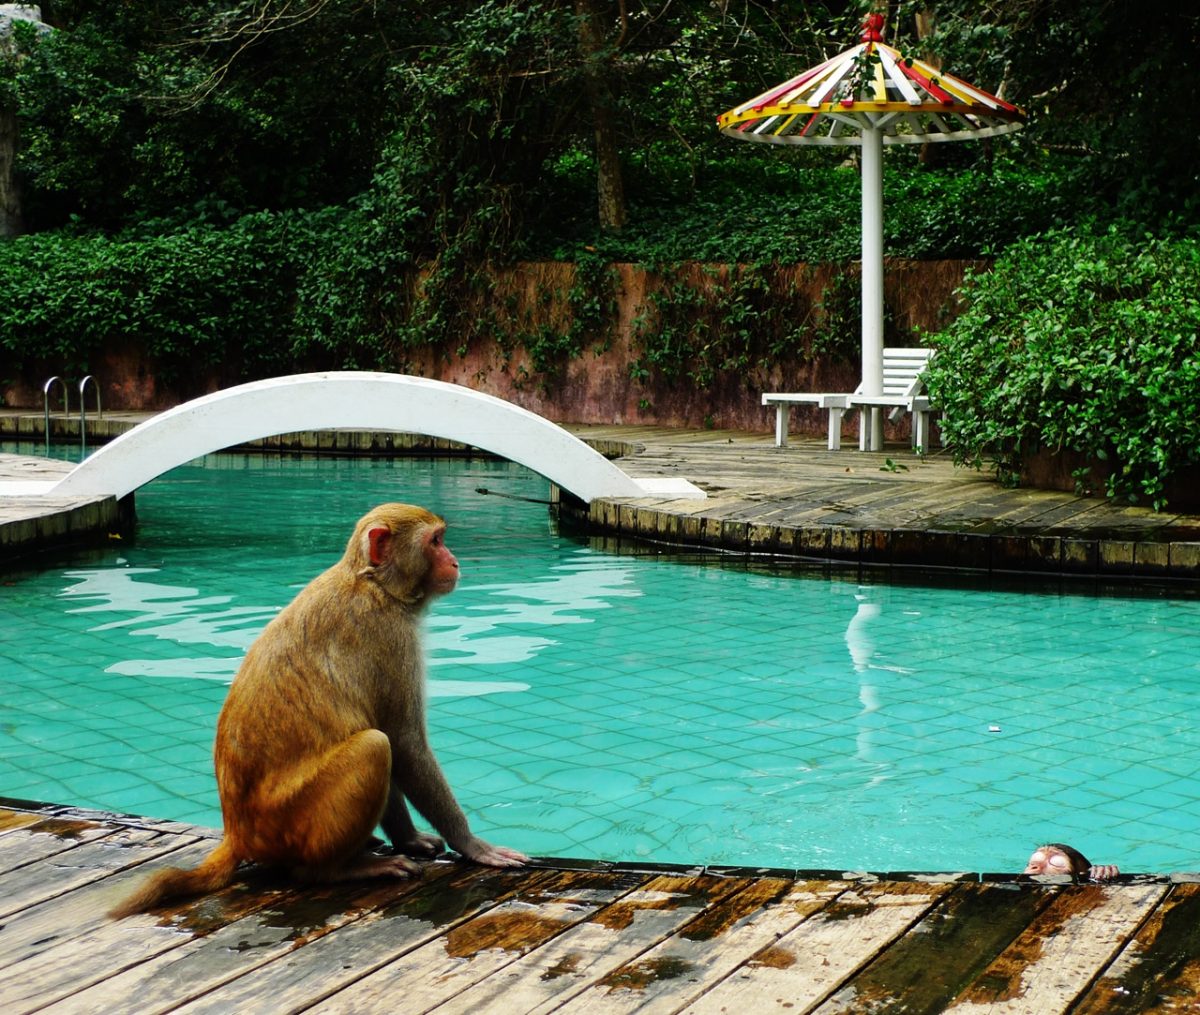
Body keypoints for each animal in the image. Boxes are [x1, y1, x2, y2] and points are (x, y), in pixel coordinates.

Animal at [110, 503, 528, 921]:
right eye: (436, 541)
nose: (455, 561)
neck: (374, 583)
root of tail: (238, 832)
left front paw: (409, 839)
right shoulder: (390, 636)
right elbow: (403, 742)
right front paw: (473, 845)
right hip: (290, 823)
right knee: (374, 747)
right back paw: (334, 870)